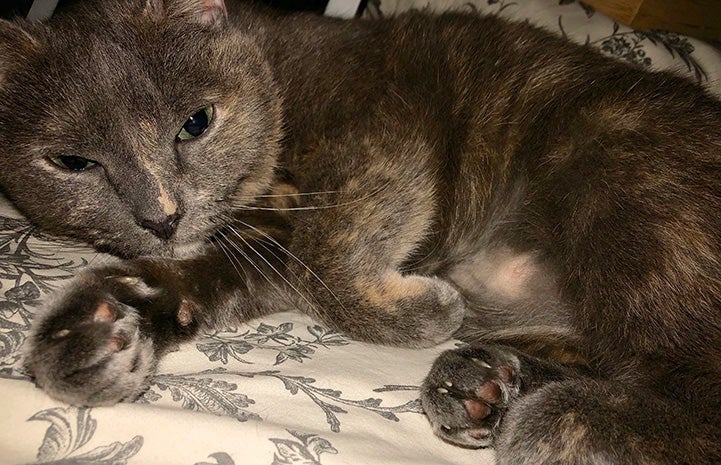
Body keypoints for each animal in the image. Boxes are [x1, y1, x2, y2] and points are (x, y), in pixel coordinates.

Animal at [1, 0, 720, 462]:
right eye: (72, 163)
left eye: (195, 123)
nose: (160, 214)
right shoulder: (254, 247)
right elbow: (202, 280)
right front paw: (94, 330)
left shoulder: (384, 129)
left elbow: (328, 252)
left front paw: (421, 312)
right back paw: (482, 383)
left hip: (630, 187)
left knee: (693, 388)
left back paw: (552, 419)